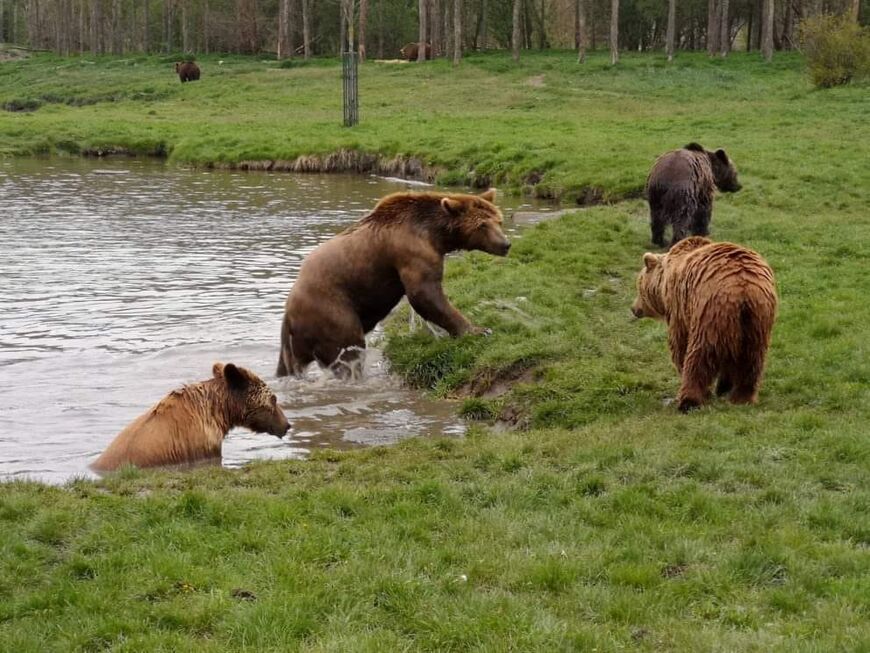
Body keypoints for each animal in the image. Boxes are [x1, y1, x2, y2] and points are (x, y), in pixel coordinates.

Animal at [278, 188, 510, 376]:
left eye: (499, 221)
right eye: (482, 225)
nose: (505, 244)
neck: (437, 234)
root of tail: (290, 312)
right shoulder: (412, 251)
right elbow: (425, 294)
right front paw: (478, 330)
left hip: (291, 343)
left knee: (289, 366)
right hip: (330, 309)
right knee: (347, 350)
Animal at [632, 237, 780, 410]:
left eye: (638, 285)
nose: (634, 308)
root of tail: (743, 289)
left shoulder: (679, 308)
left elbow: (679, 344)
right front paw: (724, 386)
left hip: (710, 313)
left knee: (700, 355)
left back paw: (689, 401)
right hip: (757, 319)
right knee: (752, 358)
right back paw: (743, 397)